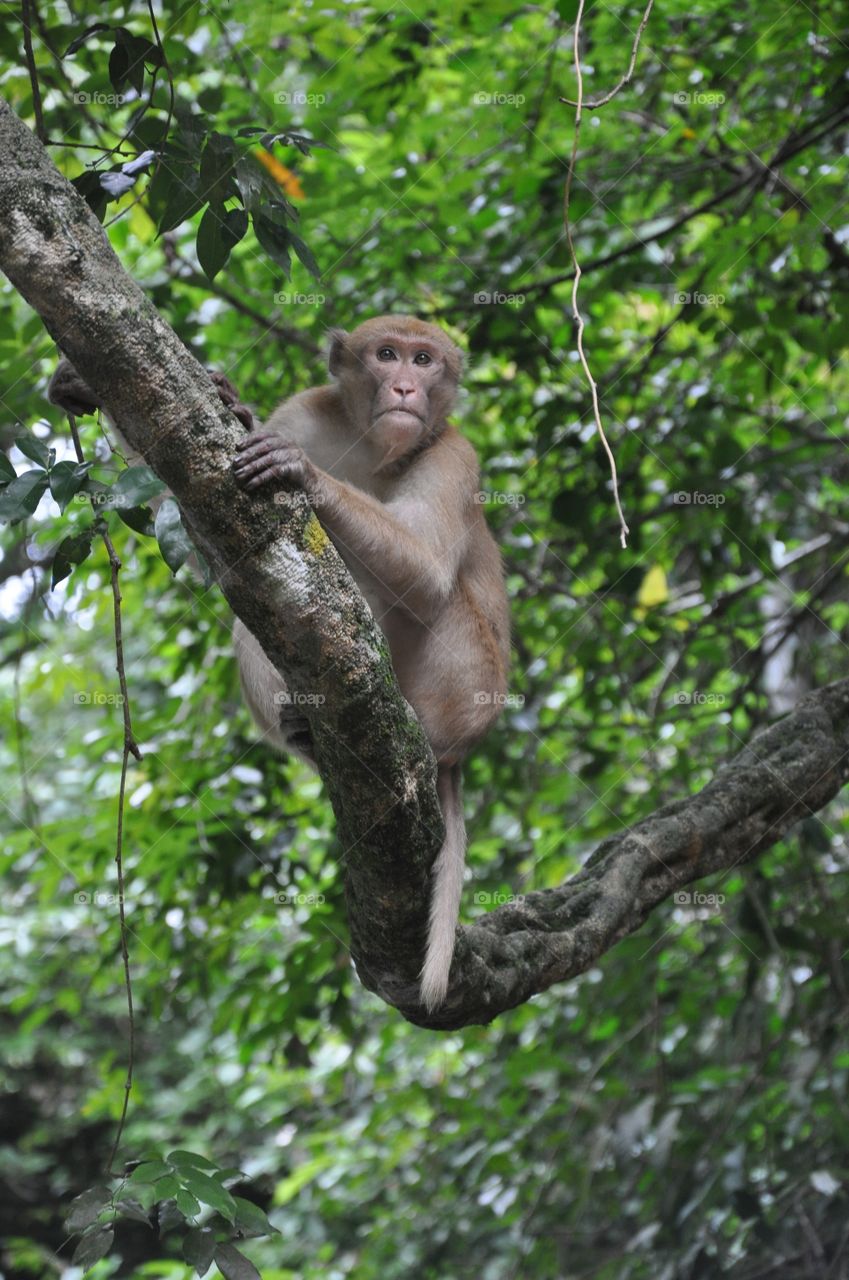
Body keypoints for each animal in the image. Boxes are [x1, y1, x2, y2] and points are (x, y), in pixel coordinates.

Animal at [47, 316, 510, 1012]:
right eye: (388, 355)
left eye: (424, 360)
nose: (405, 387)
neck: (373, 448)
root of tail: (460, 752)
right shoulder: (307, 411)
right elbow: (213, 540)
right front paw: (207, 397)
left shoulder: (455, 453)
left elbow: (428, 569)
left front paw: (303, 473)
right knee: (262, 607)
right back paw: (305, 732)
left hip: (466, 686)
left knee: (429, 596)